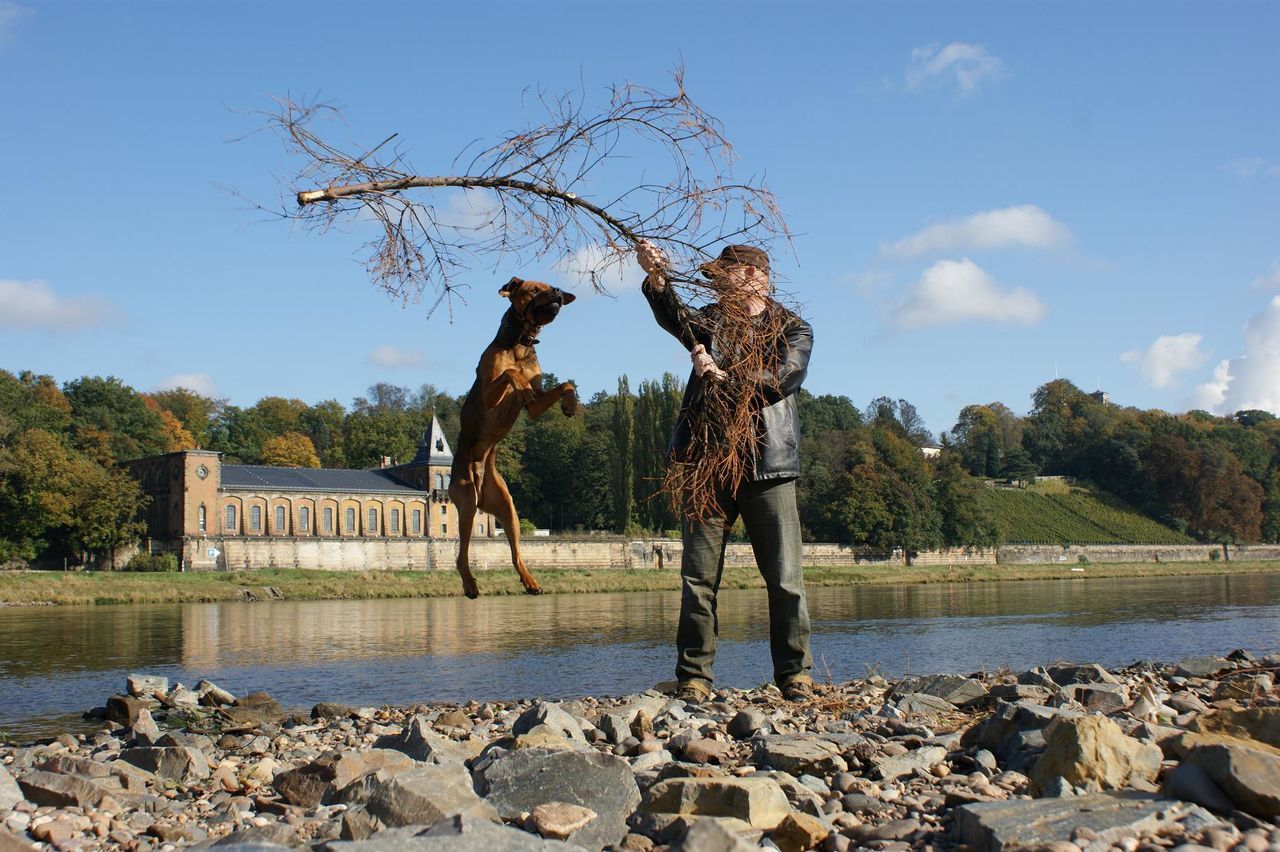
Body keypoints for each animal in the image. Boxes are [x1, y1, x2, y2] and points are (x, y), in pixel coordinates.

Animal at [445, 275, 576, 593]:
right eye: (534, 289)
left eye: (550, 286)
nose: (557, 292)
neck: (520, 342)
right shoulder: (490, 395)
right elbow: (510, 374)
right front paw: (521, 385)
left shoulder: (537, 406)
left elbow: (565, 383)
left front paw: (570, 403)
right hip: (466, 505)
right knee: (461, 555)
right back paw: (470, 585)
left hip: (508, 509)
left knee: (516, 553)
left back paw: (530, 581)